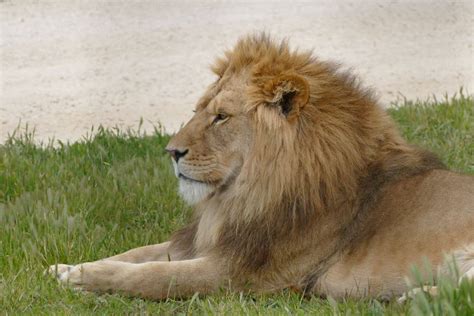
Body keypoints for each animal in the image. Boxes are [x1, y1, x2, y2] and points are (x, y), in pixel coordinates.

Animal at [49, 34, 474, 302]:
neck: (242, 194)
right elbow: (138, 253)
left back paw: (413, 299)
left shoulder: (240, 274)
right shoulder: (211, 242)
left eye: (221, 117)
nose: (171, 151)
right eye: (197, 110)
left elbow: (154, 276)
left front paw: (83, 279)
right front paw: (65, 268)